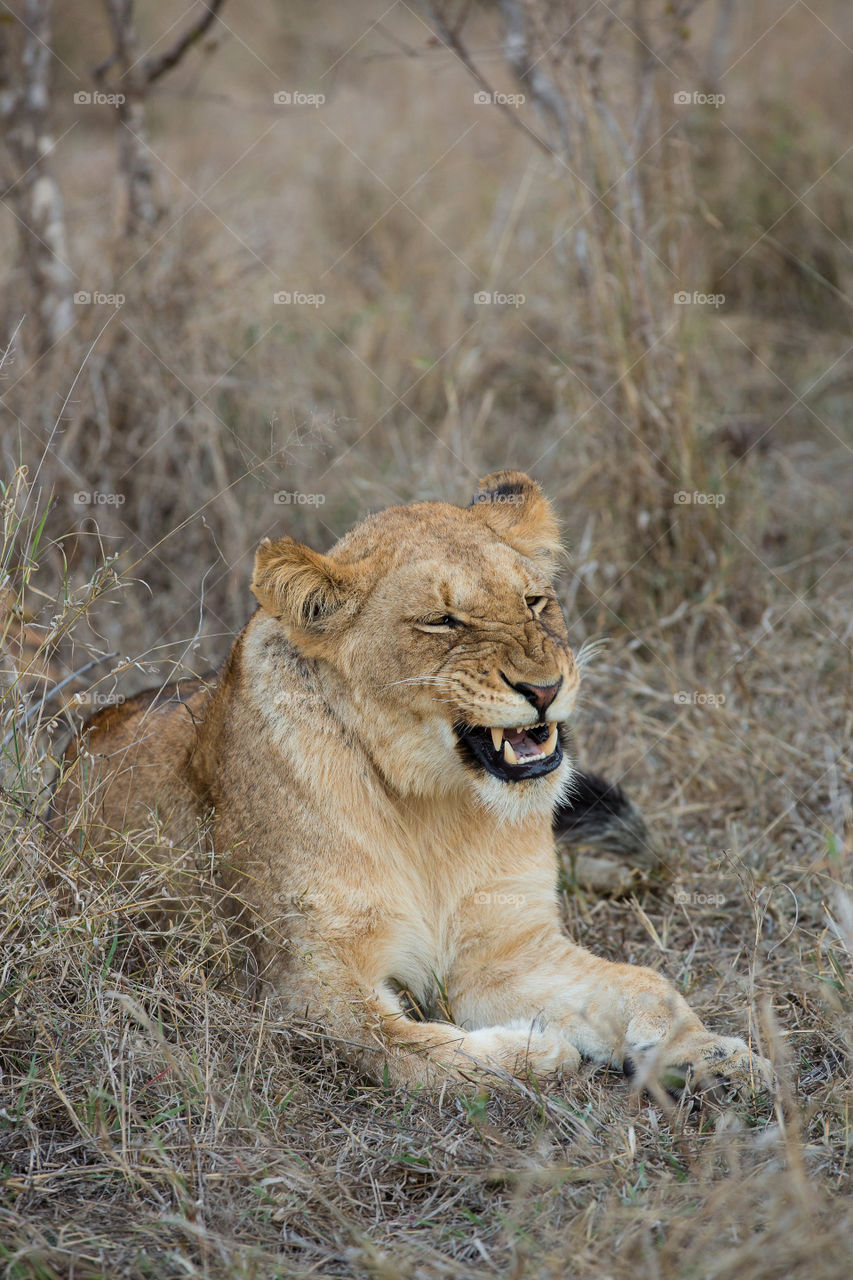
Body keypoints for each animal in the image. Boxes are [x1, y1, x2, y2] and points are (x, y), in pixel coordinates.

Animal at [51, 476, 763, 1095]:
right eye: (443, 622)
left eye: (534, 602)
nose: (545, 688)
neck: (435, 804)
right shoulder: (305, 987)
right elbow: (419, 1053)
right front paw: (539, 1052)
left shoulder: (504, 948)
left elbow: (642, 983)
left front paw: (713, 1056)